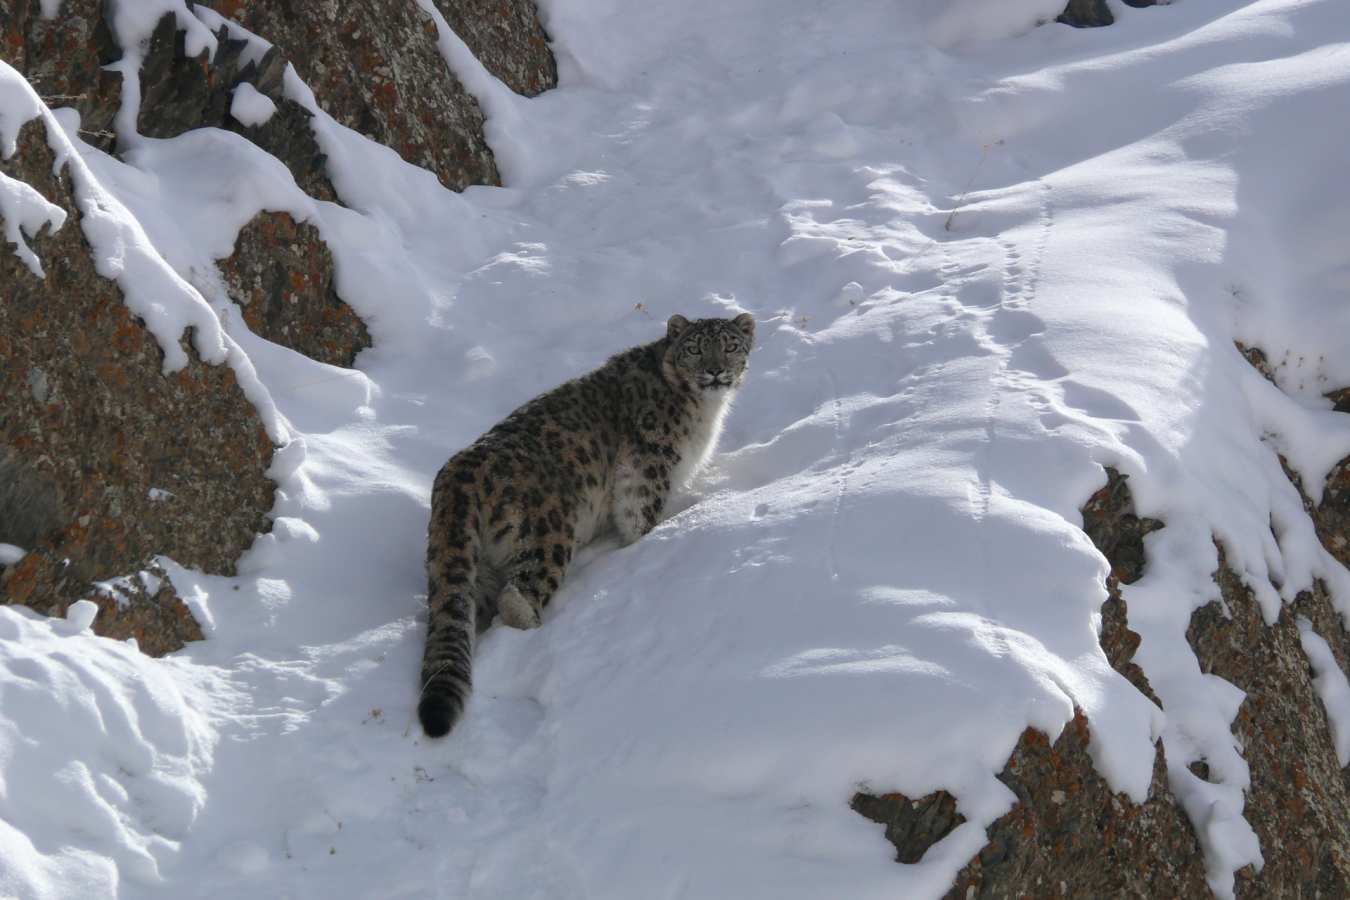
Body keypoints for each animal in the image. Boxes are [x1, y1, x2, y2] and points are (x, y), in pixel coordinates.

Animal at [418, 312, 755, 737]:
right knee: (517, 596)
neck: (704, 412)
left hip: (473, 566)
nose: (714, 370)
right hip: (549, 532)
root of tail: (457, 472)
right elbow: (640, 516)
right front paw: (657, 533)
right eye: (695, 348)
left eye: (730, 346)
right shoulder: (649, 465)